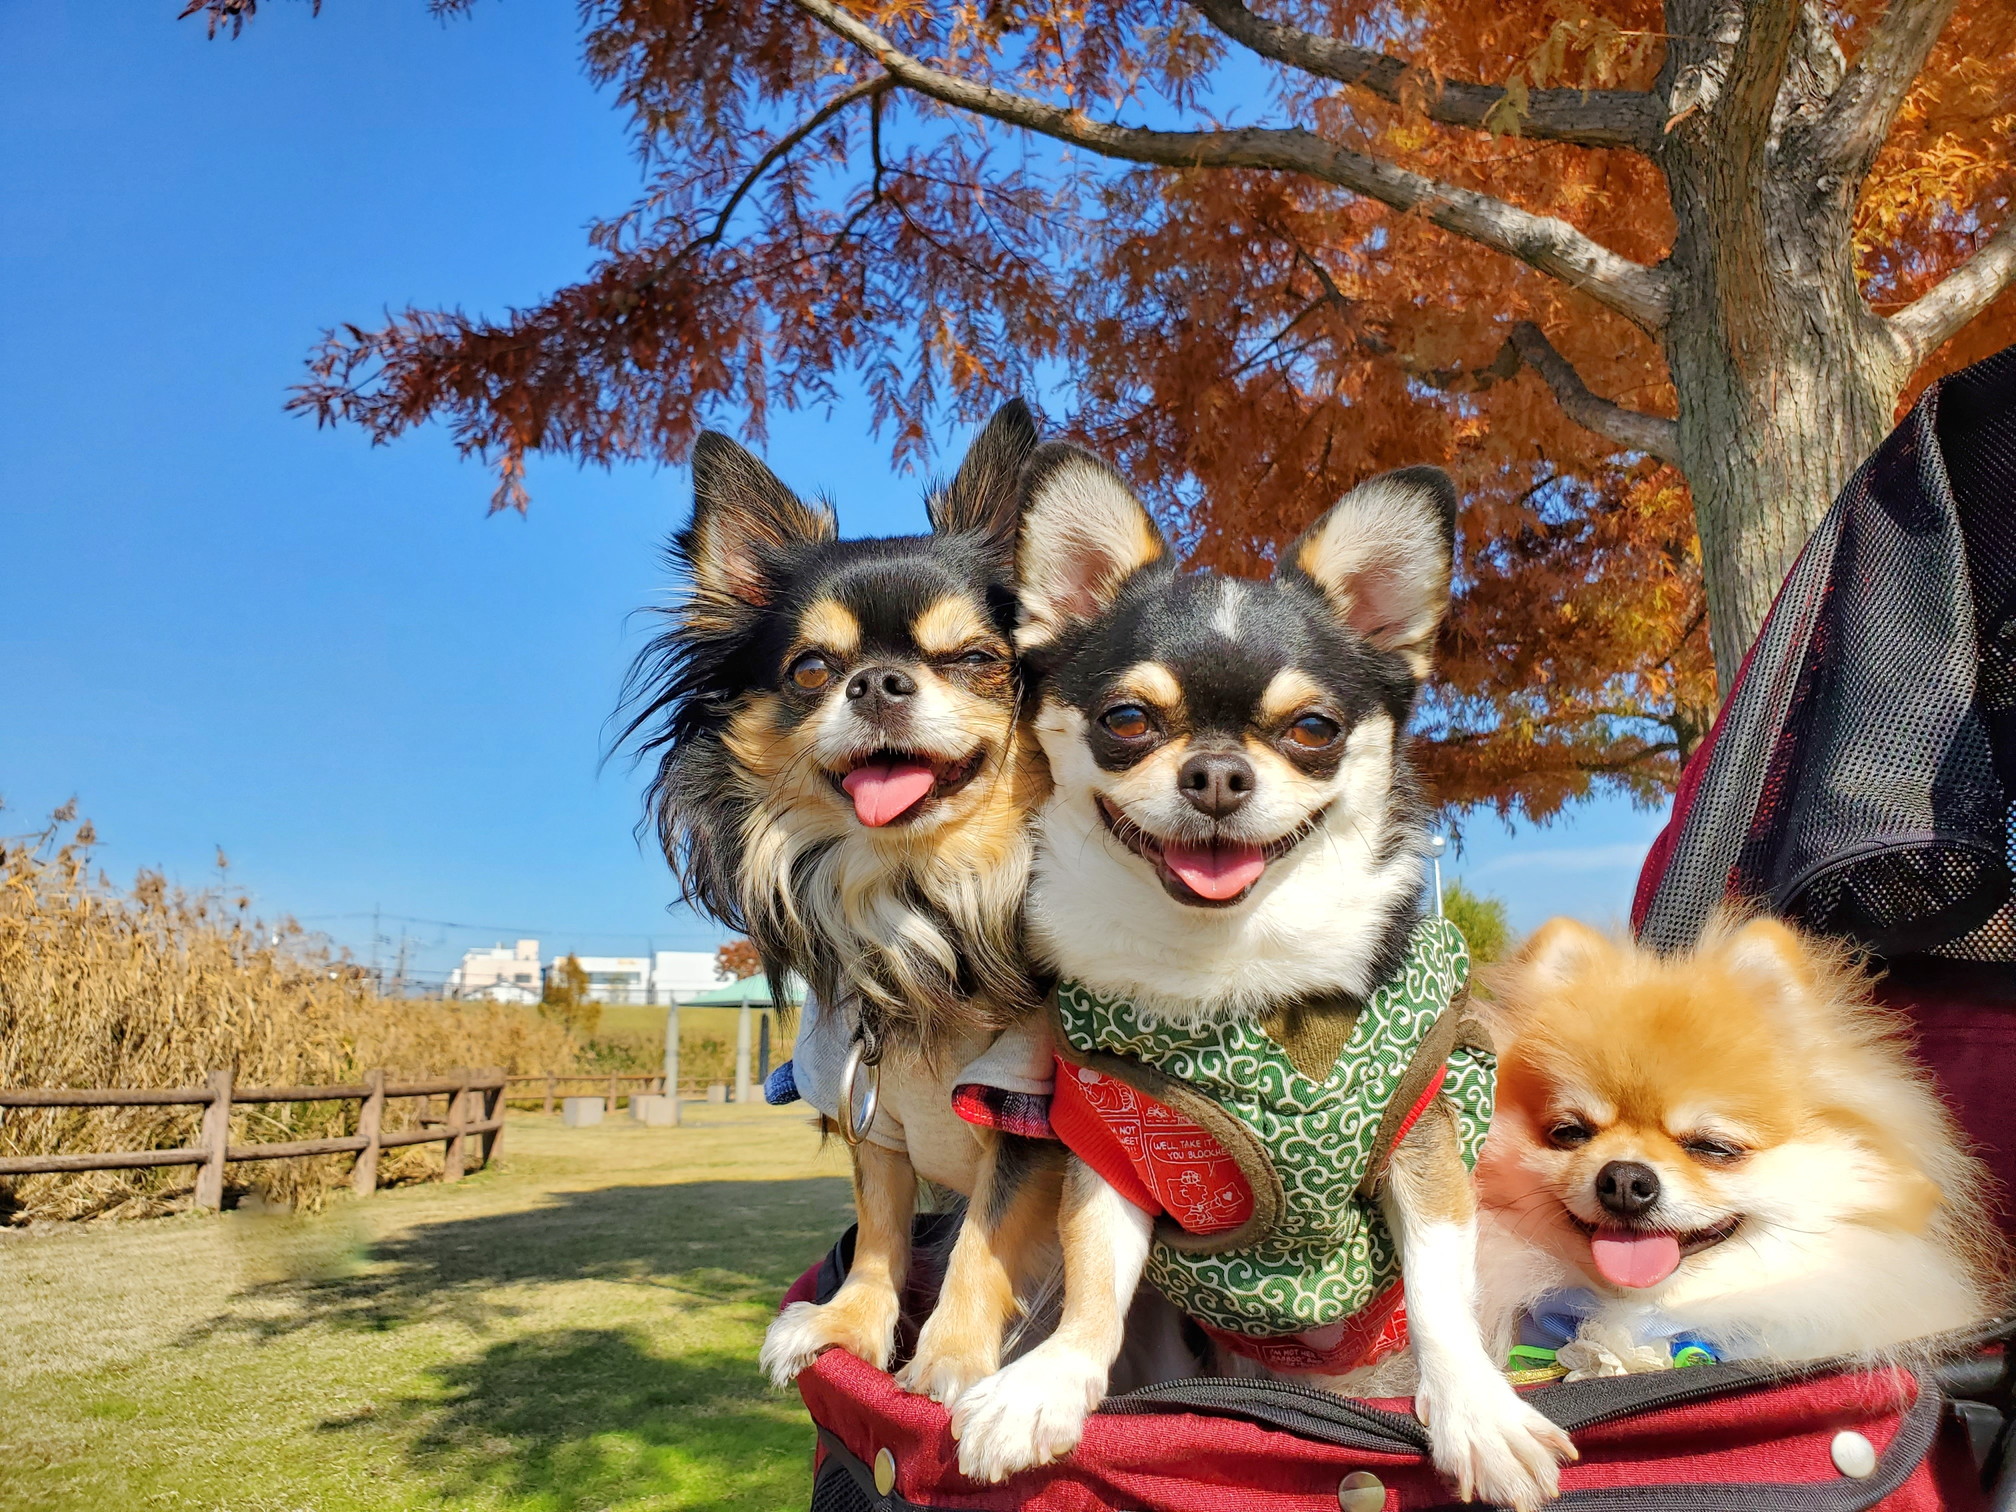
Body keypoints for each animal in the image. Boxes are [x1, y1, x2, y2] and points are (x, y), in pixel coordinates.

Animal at [624, 405, 1064, 1411]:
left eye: (977, 660)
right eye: (812, 669)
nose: (878, 681)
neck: (918, 898)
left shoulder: (1028, 1105)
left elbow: (984, 1236)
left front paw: (949, 1357)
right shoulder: (867, 1105)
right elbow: (879, 1226)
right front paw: (848, 1329)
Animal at [943, 447, 1572, 1512]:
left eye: (1313, 728)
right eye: (1126, 720)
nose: (1216, 774)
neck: (1233, 968)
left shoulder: (1424, 1142)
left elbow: (1437, 1289)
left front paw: (1478, 1413)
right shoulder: (1115, 1148)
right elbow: (1093, 1278)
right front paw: (1049, 1382)